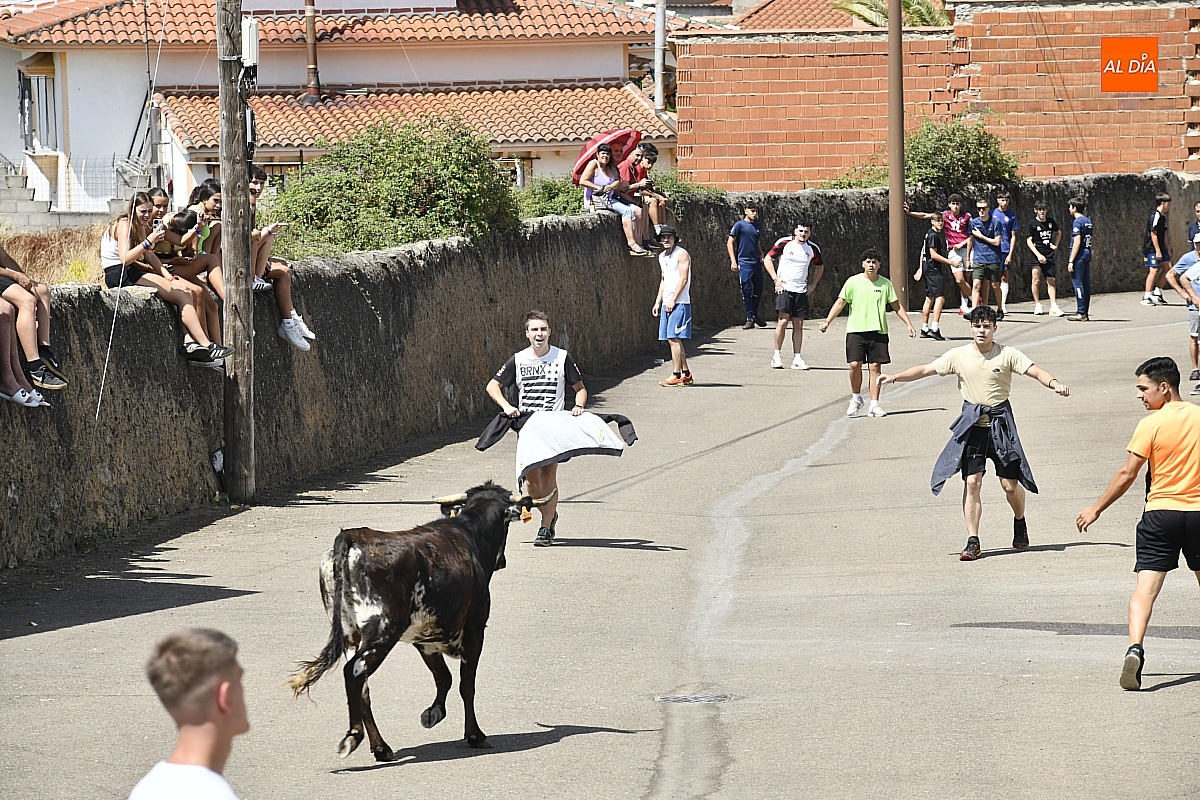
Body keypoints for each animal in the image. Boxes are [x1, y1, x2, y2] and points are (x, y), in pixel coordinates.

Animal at [286, 481, 553, 760]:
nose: (502, 562)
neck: (469, 534)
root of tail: (352, 537)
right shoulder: (474, 630)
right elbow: (466, 684)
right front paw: (475, 734)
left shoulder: (425, 638)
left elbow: (443, 677)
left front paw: (433, 713)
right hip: (383, 630)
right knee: (356, 672)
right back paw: (353, 737)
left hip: (351, 635)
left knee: (364, 689)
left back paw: (381, 747)